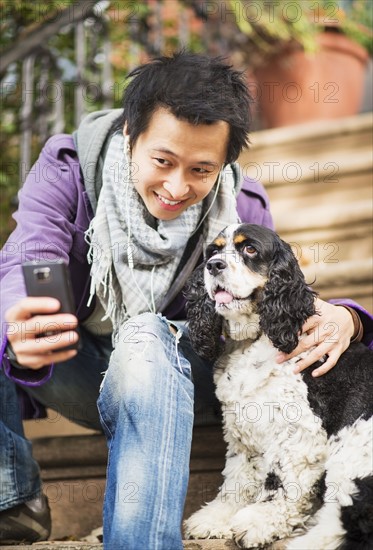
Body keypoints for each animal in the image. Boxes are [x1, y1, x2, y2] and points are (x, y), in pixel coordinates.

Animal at [184, 224, 372, 550]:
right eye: (213, 251)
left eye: (250, 249)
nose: (214, 266)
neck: (253, 341)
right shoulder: (241, 430)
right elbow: (238, 476)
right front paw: (216, 518)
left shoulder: (299, 433)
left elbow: (284, 483)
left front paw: (258, 522)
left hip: (352, 449)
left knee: (349, 517)